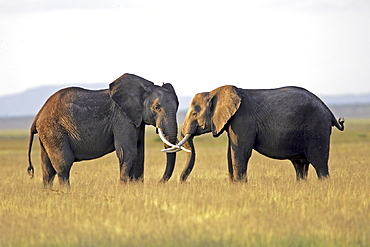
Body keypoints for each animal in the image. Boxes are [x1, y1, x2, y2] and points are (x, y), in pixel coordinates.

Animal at [27, 73, 179, 187]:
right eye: (157, 107)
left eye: (178, 106)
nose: (158, 183)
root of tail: (38, 115)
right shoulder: (122, 118)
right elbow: (127, 152)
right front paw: (124, 189)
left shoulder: (136, 119)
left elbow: (140, 152)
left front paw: (136, 187)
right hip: (54, 130)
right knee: (63, 165)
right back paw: (66, 192)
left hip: (47, 133)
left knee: (47, 169)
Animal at [165, 85, 344, 181]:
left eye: (195, 114)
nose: (182, 182)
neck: (215, 92)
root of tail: (329, 112)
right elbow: (231, 152)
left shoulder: (243, 120)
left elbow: (240, 152)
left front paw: (239, 185)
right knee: (300, 165)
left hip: (317, 128)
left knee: (319, 162)